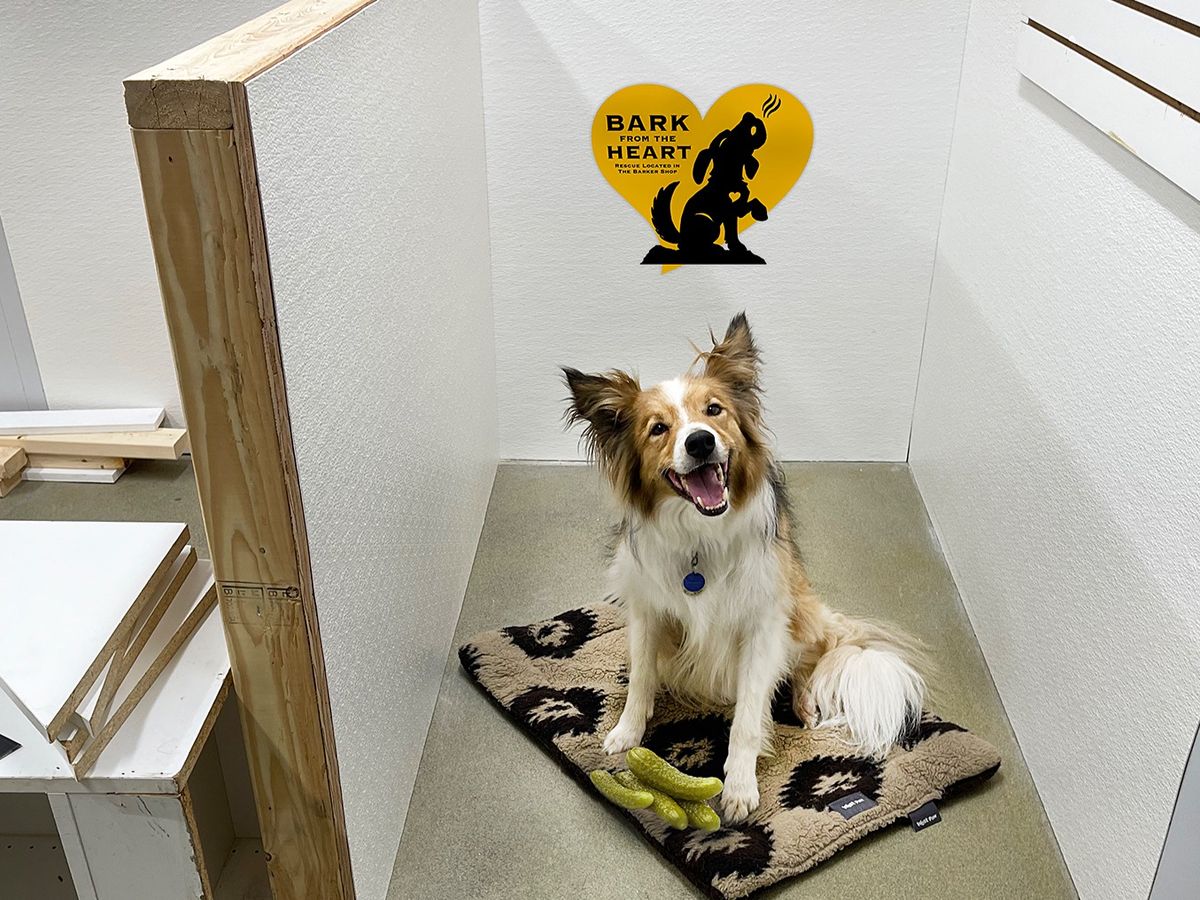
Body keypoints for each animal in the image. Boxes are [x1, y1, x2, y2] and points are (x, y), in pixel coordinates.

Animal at [562, 313, 925, 822]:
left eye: (714, 410)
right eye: (658, 428)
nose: (699, 441)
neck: (700, 536)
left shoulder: (762, 624)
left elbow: (749, 716)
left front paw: (737, 787)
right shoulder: (647, 610)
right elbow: (641, 676)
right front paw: (627, 732)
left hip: (802, 610)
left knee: (809, 661)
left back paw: (805, 704)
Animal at [650, 112, 769, 259]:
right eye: (727, 138)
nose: (748, 116)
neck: (726, 181)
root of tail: (681, 237)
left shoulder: (734, 211)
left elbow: (750, 205)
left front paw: (761, 213)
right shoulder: (731, 210)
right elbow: (735, 225)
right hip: (707, 222)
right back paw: (713, 249)